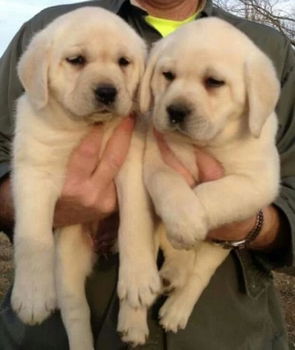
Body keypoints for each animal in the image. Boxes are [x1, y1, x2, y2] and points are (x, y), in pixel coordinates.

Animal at [138, 17, 280, 336]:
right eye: (167, 75)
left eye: (214, 82)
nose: (176, 111)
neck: (205, 144)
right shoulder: (155, 161)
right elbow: (171, 186)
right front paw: (184, 220)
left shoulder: (258, 182)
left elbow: (212, 193)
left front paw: (191, 221)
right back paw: (173, 272)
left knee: (199, 273)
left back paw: (176, 307)